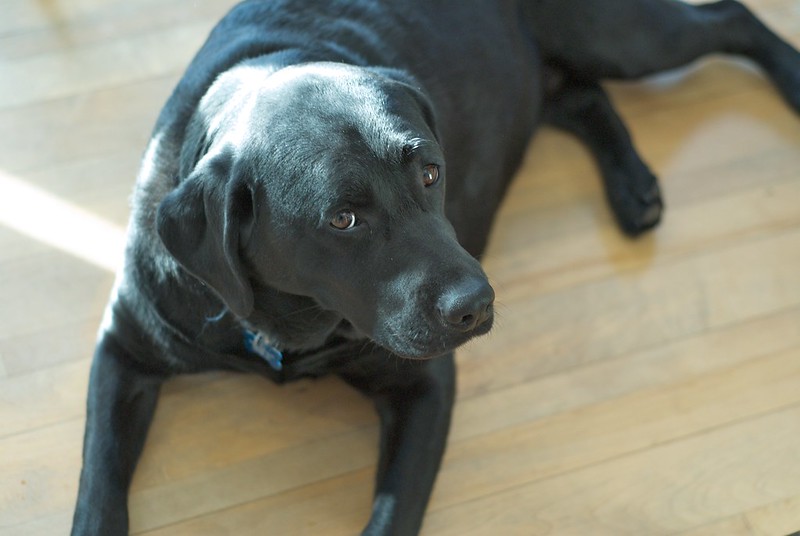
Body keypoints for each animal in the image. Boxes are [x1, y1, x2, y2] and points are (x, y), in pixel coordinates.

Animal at [70, 2, 800, 532]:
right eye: (343, 219)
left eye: (429, 172)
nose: (477, 304)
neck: (291, 329)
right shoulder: (124, 348)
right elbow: (99, 480)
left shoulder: (424, 387)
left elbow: (393, 514)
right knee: (578, 95)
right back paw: (634, 188)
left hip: (619, 35)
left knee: (724, 18)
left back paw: (789, 77)